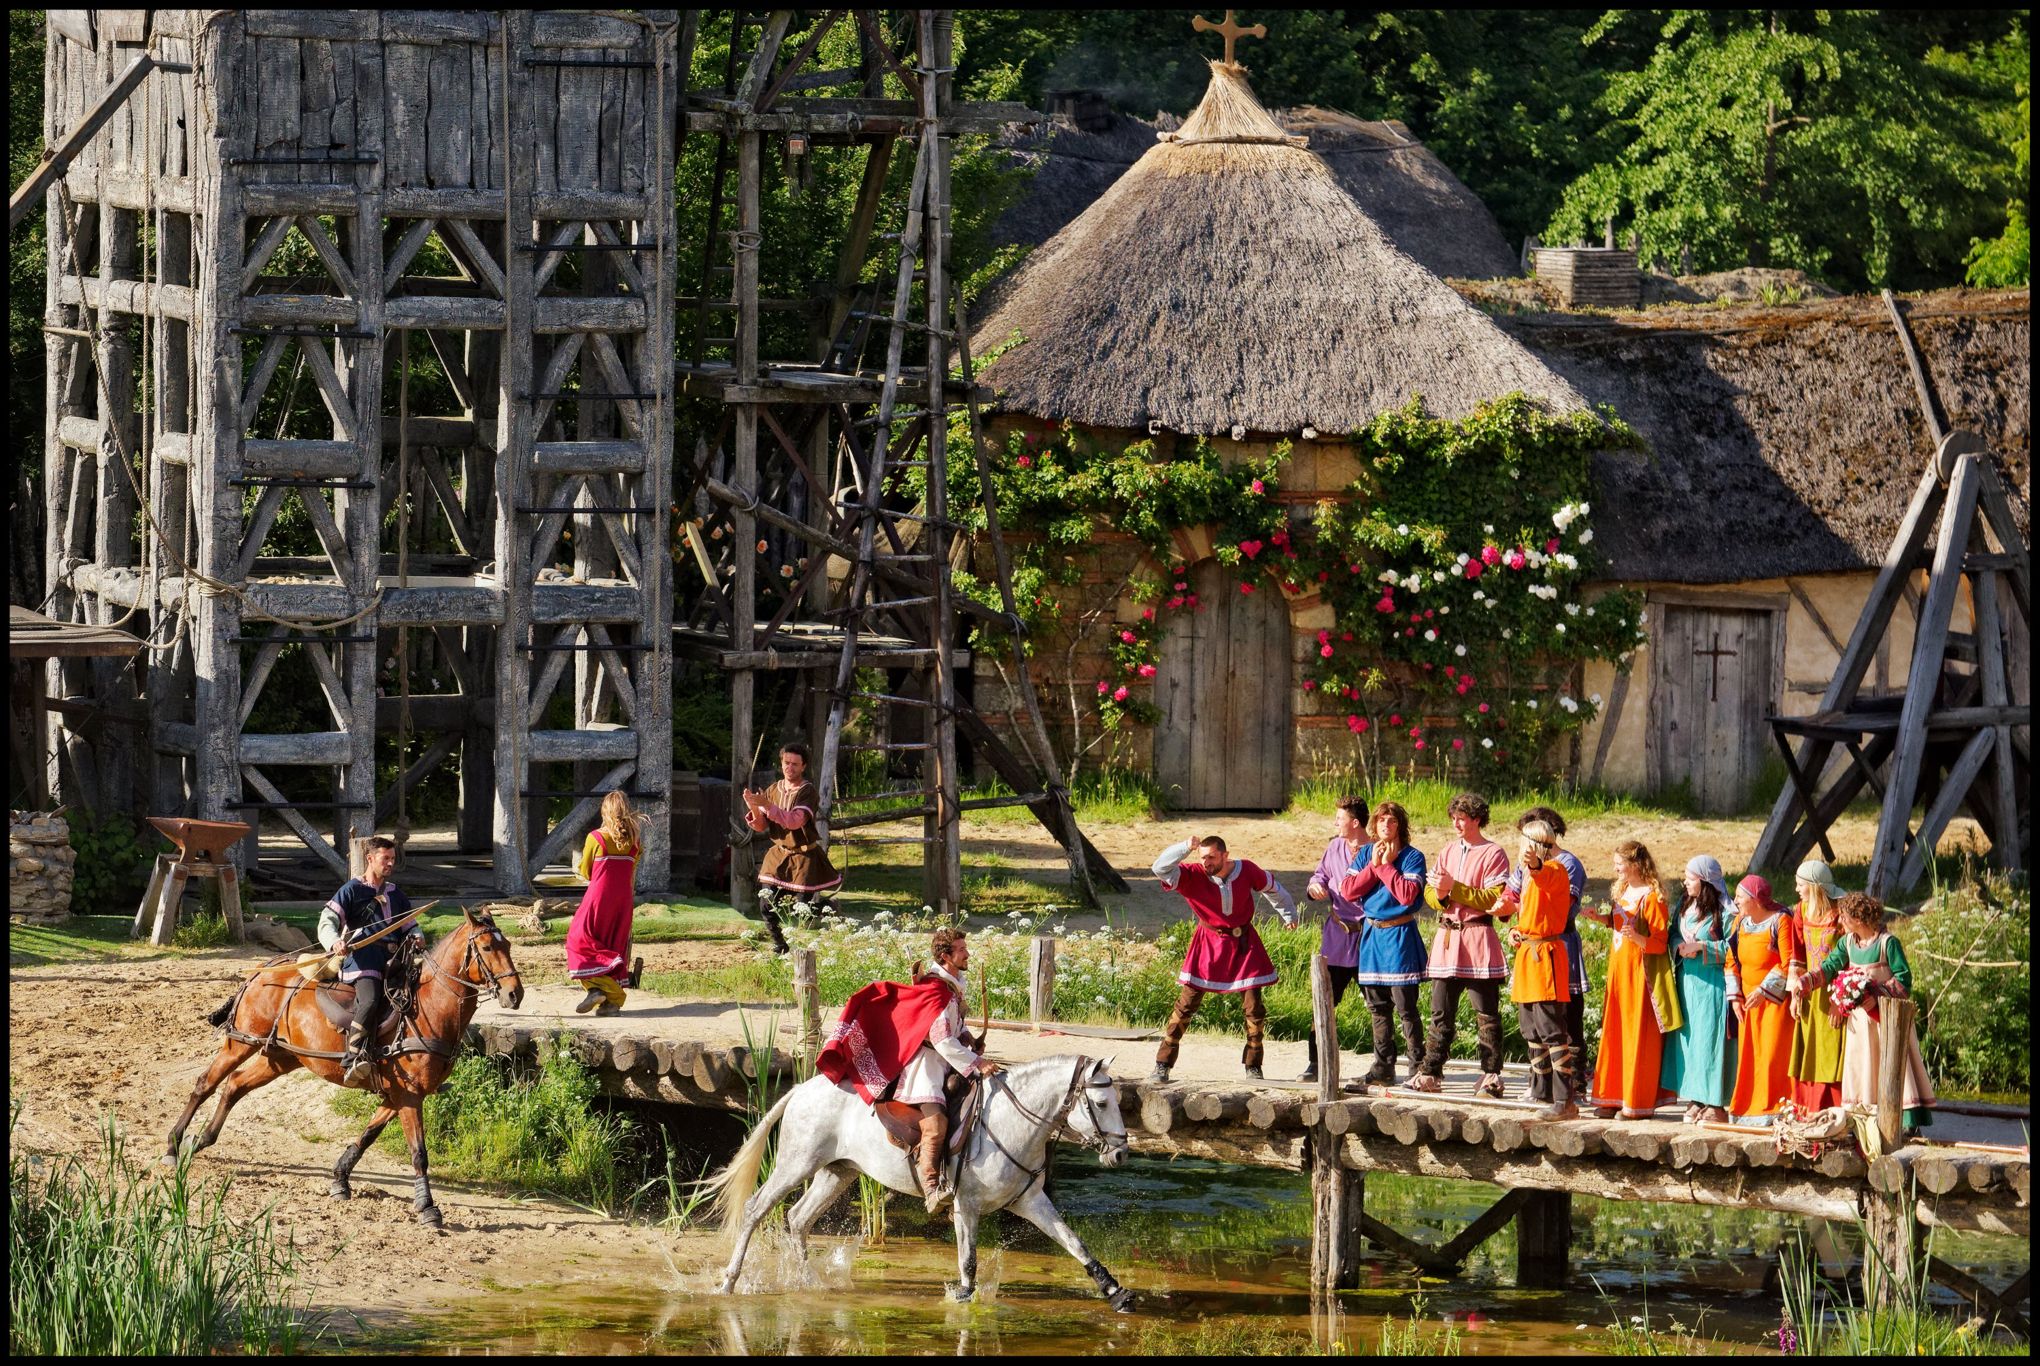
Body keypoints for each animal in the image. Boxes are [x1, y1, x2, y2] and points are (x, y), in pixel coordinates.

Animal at [168, 909, 526, 1231]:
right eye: (487, 948)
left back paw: (201, 1140)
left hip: (280, 1057)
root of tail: (260, 971)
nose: (515, 994)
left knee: (234, 1085)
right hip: (241, 1042)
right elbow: (418, 1152)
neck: (426, 1009)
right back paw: (174, 1145)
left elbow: (368, 1136)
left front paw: (340, 1178)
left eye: (507, 944)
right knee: (206, 1083)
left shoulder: (397, 1095)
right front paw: (427, 1208)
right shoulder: (409, 1096)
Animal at [705, 1052, 1142, 1312]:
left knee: (797, 1218)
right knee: (756, 1209)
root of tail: (800, 1088)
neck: (1012, 1121)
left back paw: (808, 1282)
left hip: (838, 1171)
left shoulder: (1030, 1201)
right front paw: (963, 1296)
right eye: (1101, 1103)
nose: (1120, 1154)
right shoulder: (966, 1205)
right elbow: (968, 1259)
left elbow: (1074, 1242)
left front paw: (1116, 1292)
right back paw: (729, 1281)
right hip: (796, 1163)